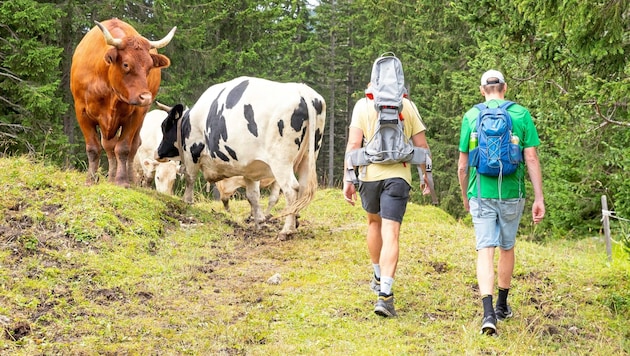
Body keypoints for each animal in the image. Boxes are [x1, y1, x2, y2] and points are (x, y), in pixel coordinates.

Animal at [70, 17, 177, 186]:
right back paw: (111, 177)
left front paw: (121, 181)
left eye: (149, 67)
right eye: (126, 64)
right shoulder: (81, 111)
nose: (146, 97)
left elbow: (124, 148)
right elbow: (93, 148)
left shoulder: (135, 114)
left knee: (133, 146)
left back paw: (129, 178)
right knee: (108, 146)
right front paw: (91, 179)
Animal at [156, 76, 328, 238]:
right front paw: (259, 222)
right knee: (303, 188)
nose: (158, 152)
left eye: (164, 126)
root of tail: (302, 90)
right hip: (308, 156)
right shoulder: (250, 168)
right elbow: (253, 196)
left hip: (281, 161)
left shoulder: (192, 152)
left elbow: (189, 179)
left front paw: (187, 203)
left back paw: (287, 230)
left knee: (291, 189)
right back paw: (295, 220)